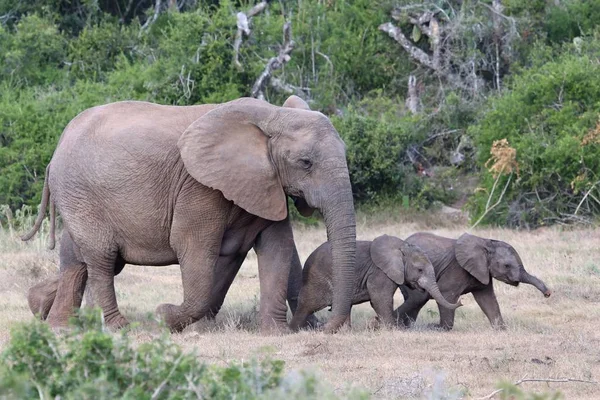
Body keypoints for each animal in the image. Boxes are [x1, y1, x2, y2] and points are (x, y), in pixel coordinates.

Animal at [22, 96, 356, 334]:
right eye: (305, 163)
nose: (327, 324)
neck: (272, 115)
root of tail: (55, 152)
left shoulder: (265, 183)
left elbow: (277, 248)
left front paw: (275, 333)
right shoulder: (198, 188)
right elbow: (194, 249)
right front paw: (163, 316)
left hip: (78, 198)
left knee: (80, 258)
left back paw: (49, 317)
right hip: (82, 195)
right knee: (102, 259)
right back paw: (118, 327)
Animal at [288, 233, 462, 330]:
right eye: (420, 270)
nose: (461, 301)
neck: (401, 247)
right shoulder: (379, 273)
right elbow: (379, 298)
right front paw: (393, 329)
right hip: (318, 279)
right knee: (307, 304)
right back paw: (293, 329)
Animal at [396, 233, 552, 330]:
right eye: (507, 266)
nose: (548, 294)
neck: (485, 242)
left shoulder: (482, 271)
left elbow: (487, 299)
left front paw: (501, 329)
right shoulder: (456, 269)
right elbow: (447, 294)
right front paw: (438, 328)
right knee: (418, 299)